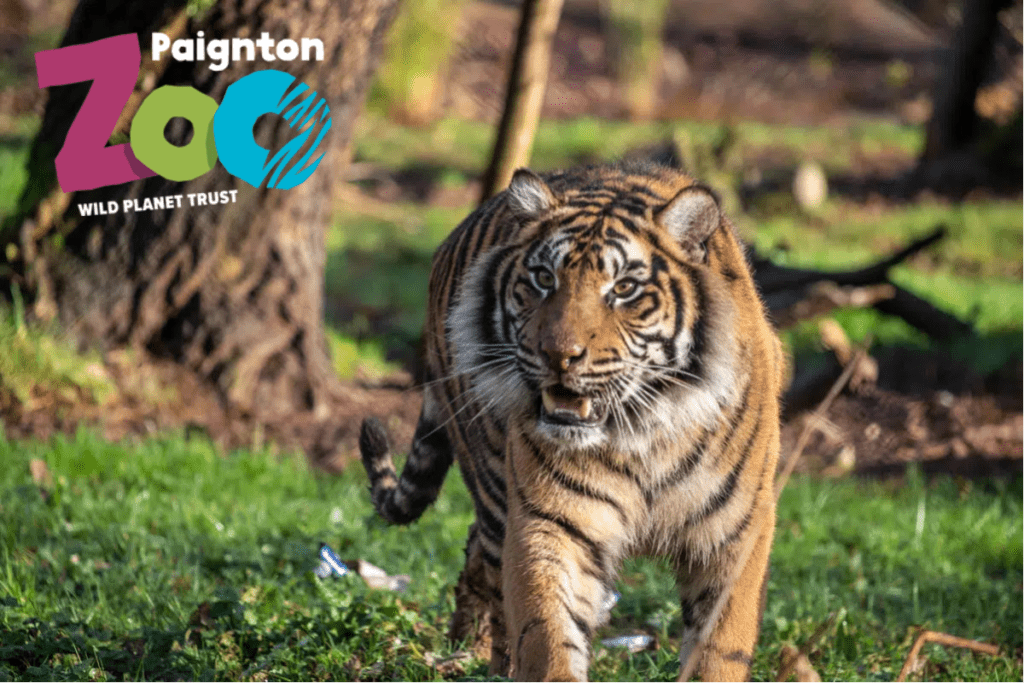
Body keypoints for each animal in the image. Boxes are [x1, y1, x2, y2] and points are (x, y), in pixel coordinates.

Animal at [360, 161, 782, 683]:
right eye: (544, 278)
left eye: (623, 289)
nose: (558, 356)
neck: (643, 433)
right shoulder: (550, 522)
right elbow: (547, 630)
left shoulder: (737, 533)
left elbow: (719, 648)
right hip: (494, 485)